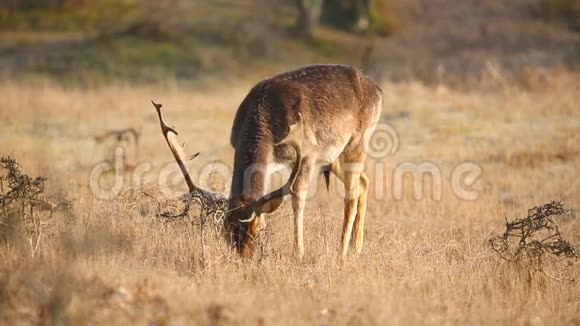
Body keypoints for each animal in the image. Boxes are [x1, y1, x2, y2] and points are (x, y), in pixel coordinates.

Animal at [152, 63, 382, 258]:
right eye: (226, 231)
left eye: (257, 230)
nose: (243, 258)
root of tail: (378, 90)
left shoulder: (308, 153)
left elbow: (297, 196)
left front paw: (298, 253)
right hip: (333, 156)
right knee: (364, 181)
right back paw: (356, 246)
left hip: (357, 142)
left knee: (351, 194)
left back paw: (341, 253)